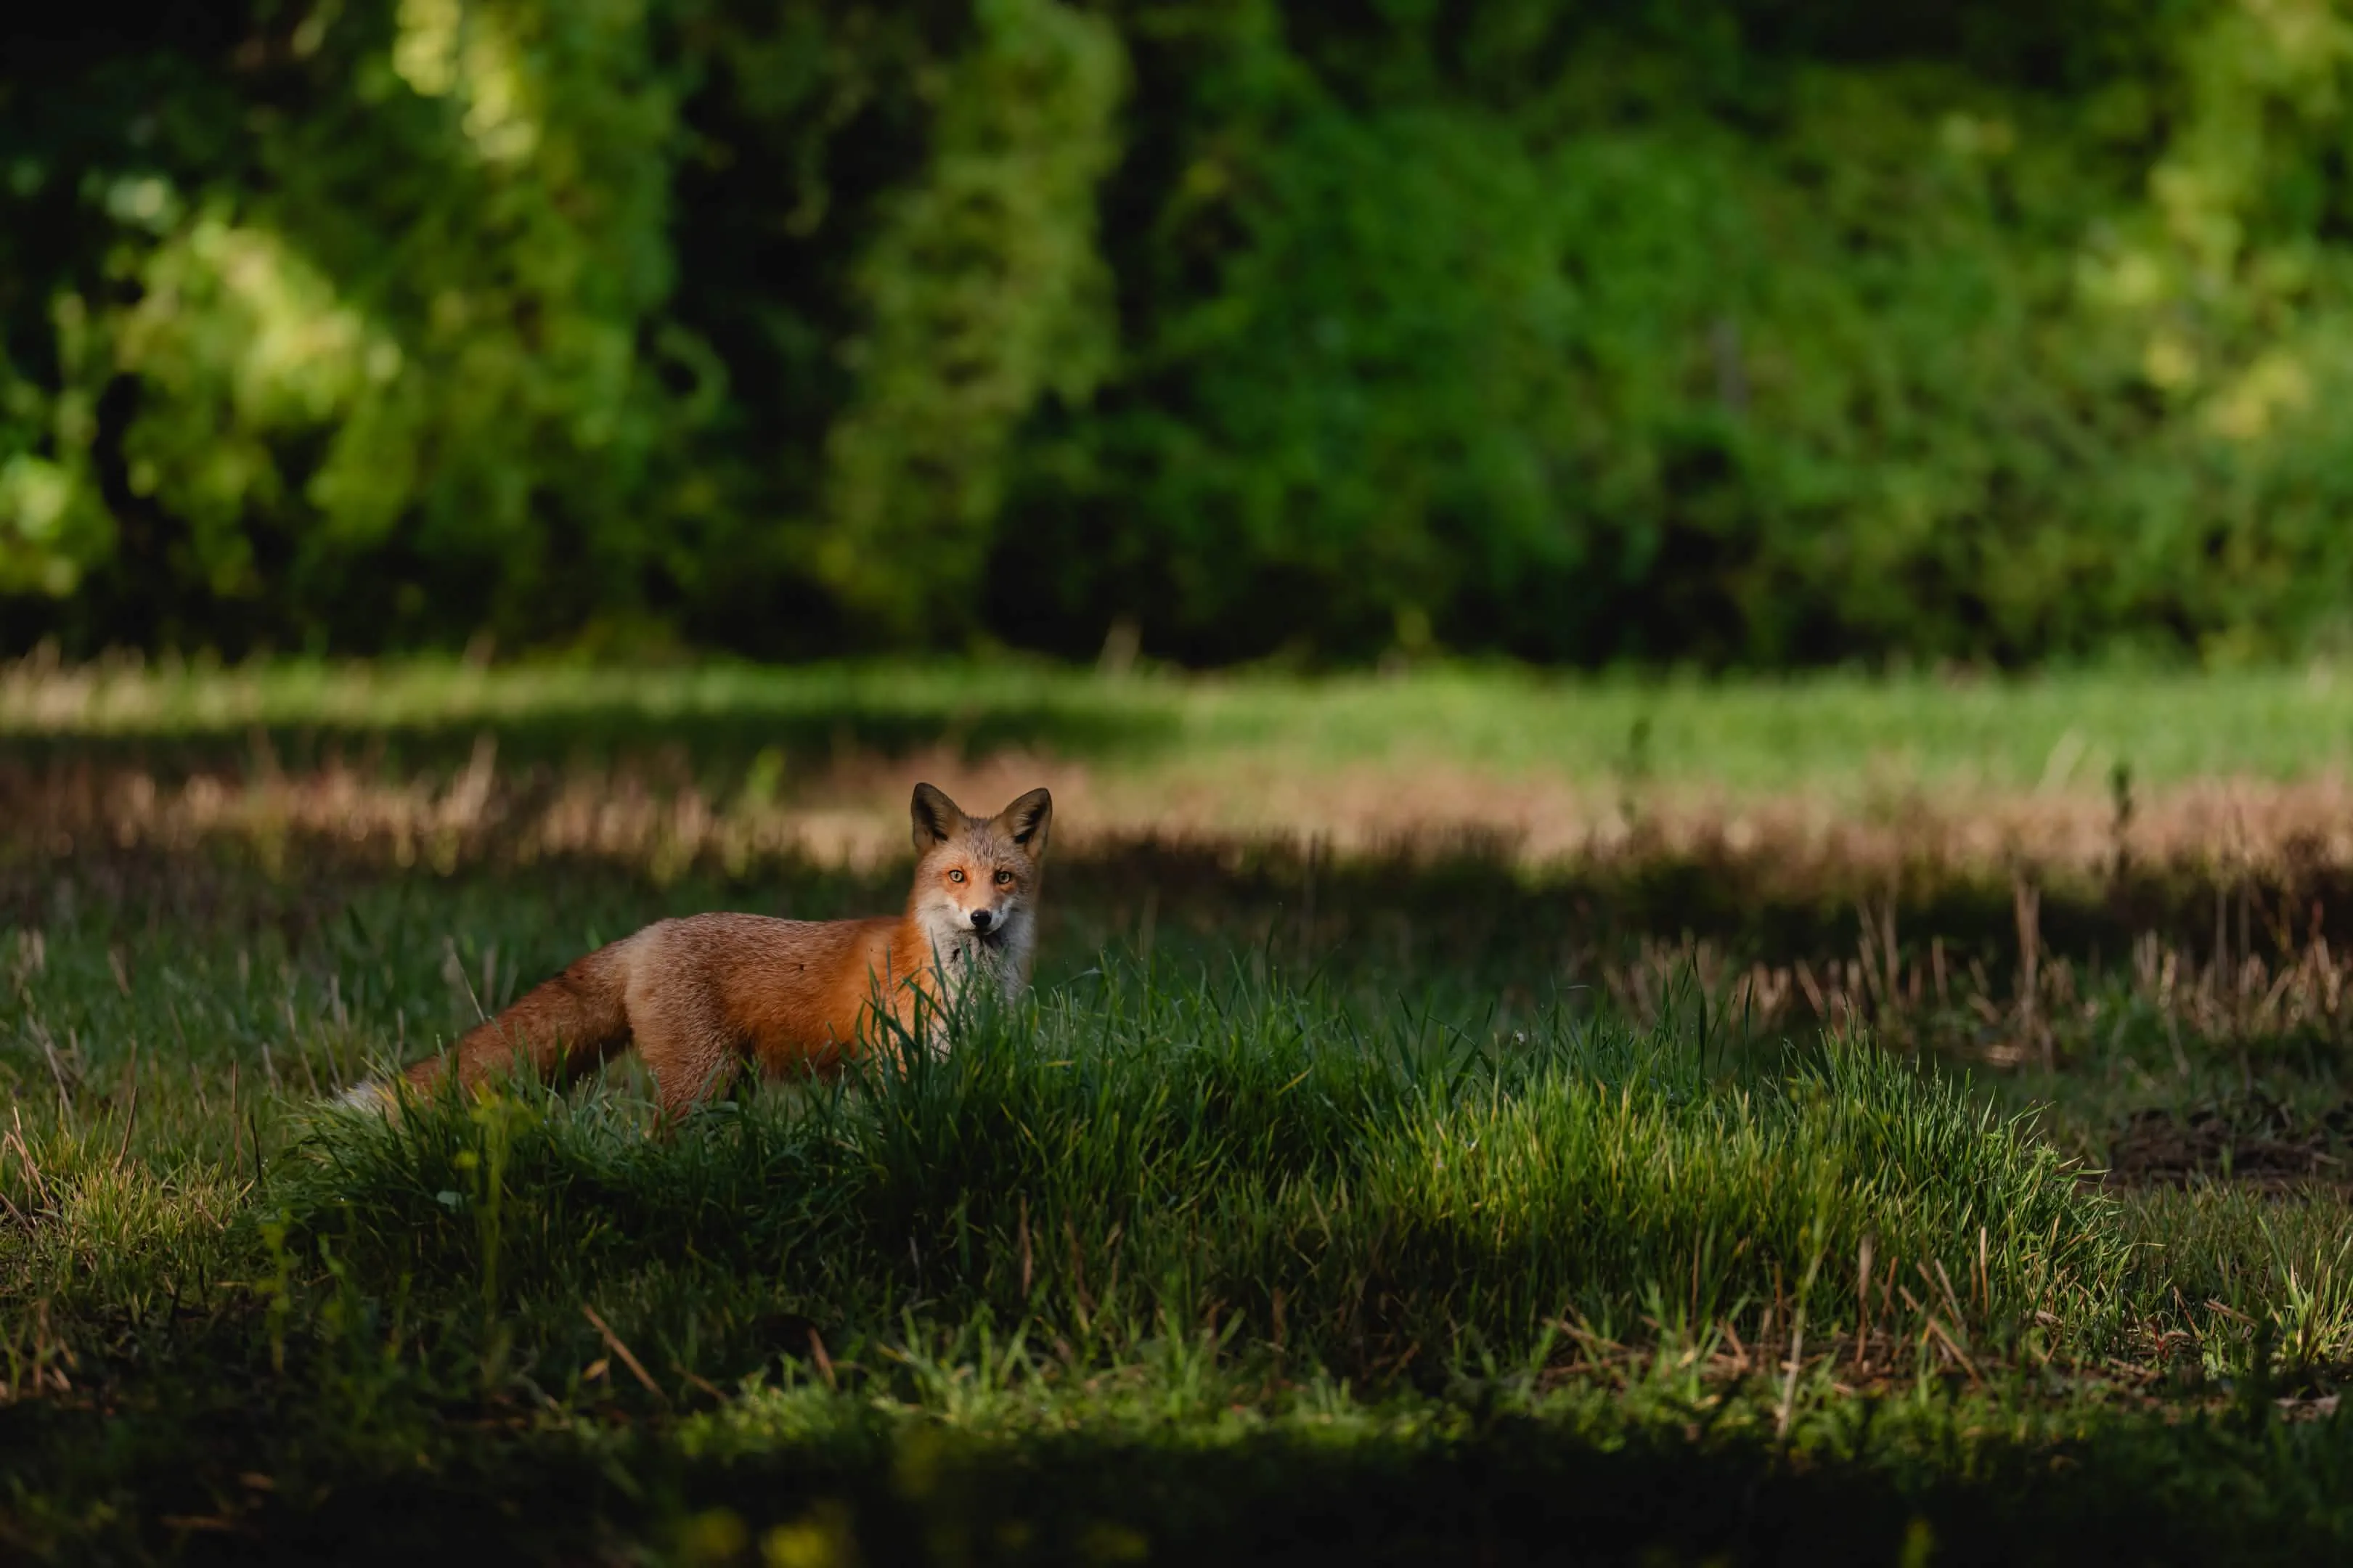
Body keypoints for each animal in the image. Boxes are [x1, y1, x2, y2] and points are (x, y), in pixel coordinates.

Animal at [345, 783, 1051, 1121]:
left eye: (1002, 879)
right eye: (957, 877)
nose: (981, 917)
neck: (967, 981)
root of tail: (647, 933)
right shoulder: (896, 1062)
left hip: (726, 1083)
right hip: (702, 1081)